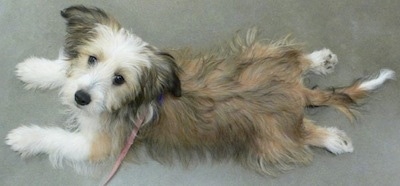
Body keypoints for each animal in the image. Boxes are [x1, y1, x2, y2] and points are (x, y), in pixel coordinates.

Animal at [6, 5, 394, 176]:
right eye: (91, 59)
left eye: (119, 80)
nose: (81, 99)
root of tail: (298, 94)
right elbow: (64, 71)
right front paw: (36, 69)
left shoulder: (96, 145)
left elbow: (55, 137)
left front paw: (24, 136)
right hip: (257, 54)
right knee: (294, 58)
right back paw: (320, 59)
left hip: (271, 140)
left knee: (305, 133)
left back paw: (333, 138)